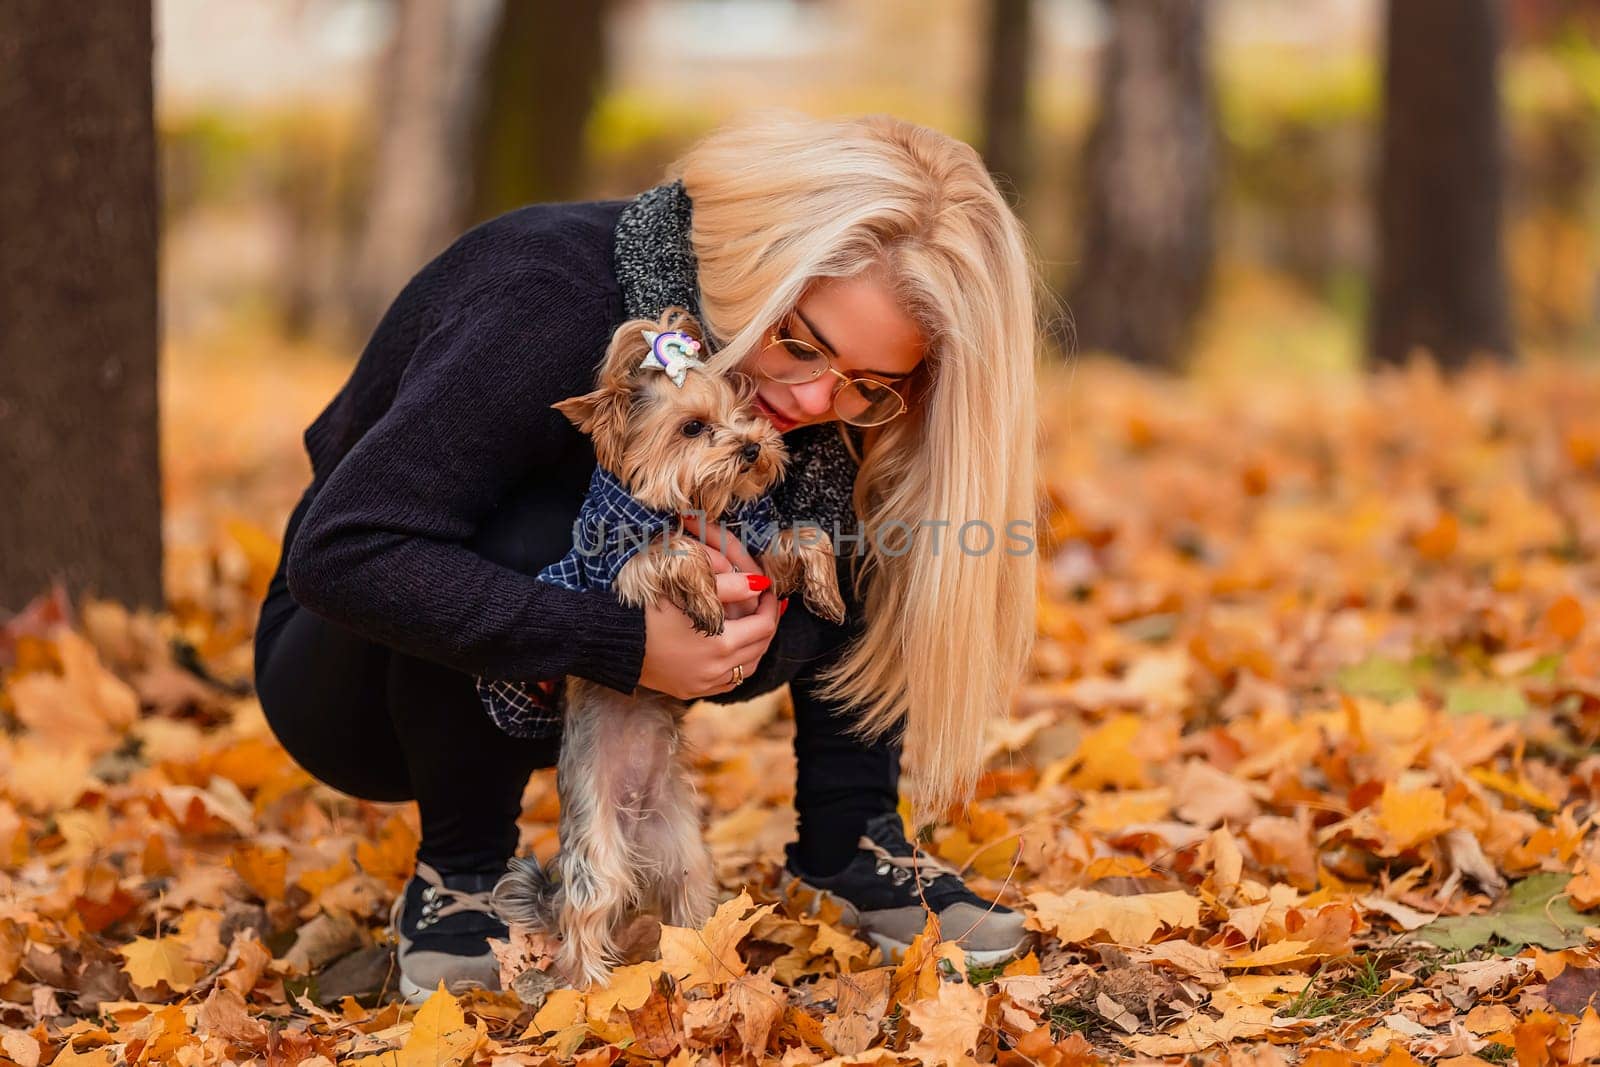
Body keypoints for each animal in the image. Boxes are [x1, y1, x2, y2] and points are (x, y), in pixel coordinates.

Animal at [492, 303, 851, 991]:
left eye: (744, 411)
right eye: (692, 427)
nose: (753, 446)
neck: (694, 505)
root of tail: (634, 825)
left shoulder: (758, 549)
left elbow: (803, 534)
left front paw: (827, 594)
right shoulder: (618, 570)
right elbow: (674, 549)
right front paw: (704, 599)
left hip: (684, 851)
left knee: (689, 909)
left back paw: (709, 971)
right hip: (597, 860)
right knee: (584, 918)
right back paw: (591, 994)